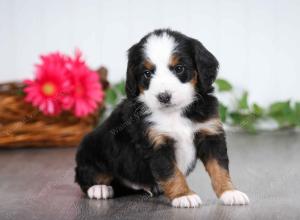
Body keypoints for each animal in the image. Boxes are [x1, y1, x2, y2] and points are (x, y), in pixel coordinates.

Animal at [75, 29, 248, 208]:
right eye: (147, 73)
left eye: (179, 68)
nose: (164, 96)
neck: (175, 112)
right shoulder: (156, 144)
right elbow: (171, 172)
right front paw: (184, 195)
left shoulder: (210, 134)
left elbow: (219, 167)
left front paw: (230, 192)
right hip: (91, 149)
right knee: (87, 177)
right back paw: (100, 189)